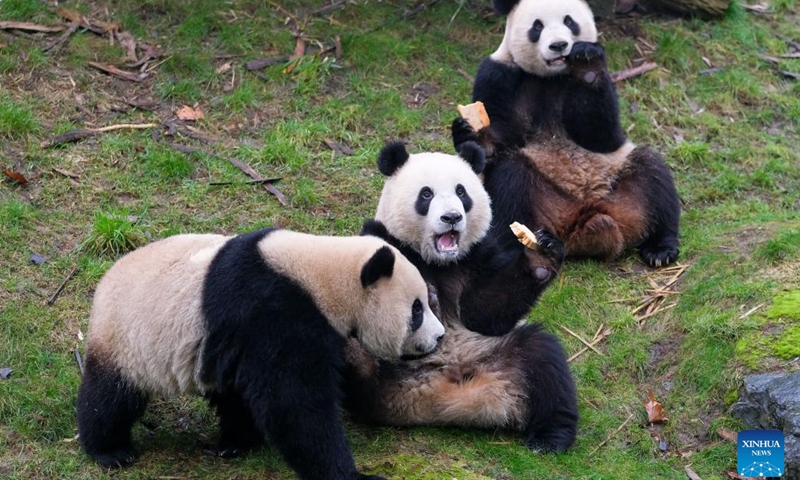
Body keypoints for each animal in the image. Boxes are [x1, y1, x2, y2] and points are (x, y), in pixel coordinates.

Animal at [75, 228, 444, 480]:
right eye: (416, 310)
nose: (439, 337)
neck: (323, 274)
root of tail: (103, 283)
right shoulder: (274, 312)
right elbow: (295, 404)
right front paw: (351, 475)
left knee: (231, 392)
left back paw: (235, 442)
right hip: (126, 339)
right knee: (110, 397)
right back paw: (111, 450)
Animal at [342, 142, 576, 454]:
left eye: (461, 192)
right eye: (426, 194)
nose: (451, 217)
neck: (438, 261)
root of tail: (440, 399)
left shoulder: (477, 257)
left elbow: (486, 312)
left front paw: (541, 256)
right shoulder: (383, 245)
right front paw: (427, 300)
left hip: (495, 353)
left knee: (544, 359)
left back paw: (551, 438)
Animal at [454, 0, 680, 266]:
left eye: (569, 21)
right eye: (537, 26)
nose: (559, 45)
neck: (552, 77)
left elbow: (602, 136)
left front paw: (587, 64)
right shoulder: (499, 74)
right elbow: (499, 137)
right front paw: (472, 133)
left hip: (622, 187)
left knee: (654, 175)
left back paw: (660, 249)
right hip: (543, 203)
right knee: (510, 179)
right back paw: (540, 248)